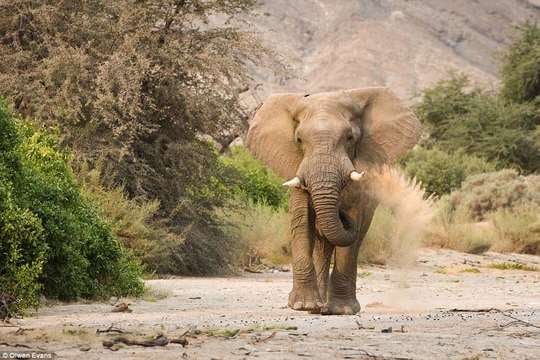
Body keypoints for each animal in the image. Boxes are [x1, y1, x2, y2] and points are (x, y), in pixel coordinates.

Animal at [246, 88, 422, 316]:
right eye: (299, 139)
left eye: (349, 137)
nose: (342, 216)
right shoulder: (296, 168)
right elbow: (302, 222)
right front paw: (303, 306)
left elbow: (351, 232)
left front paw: (342, 310)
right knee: (321, 246)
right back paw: (318, 307)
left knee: (353, 242)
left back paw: (332, 307)